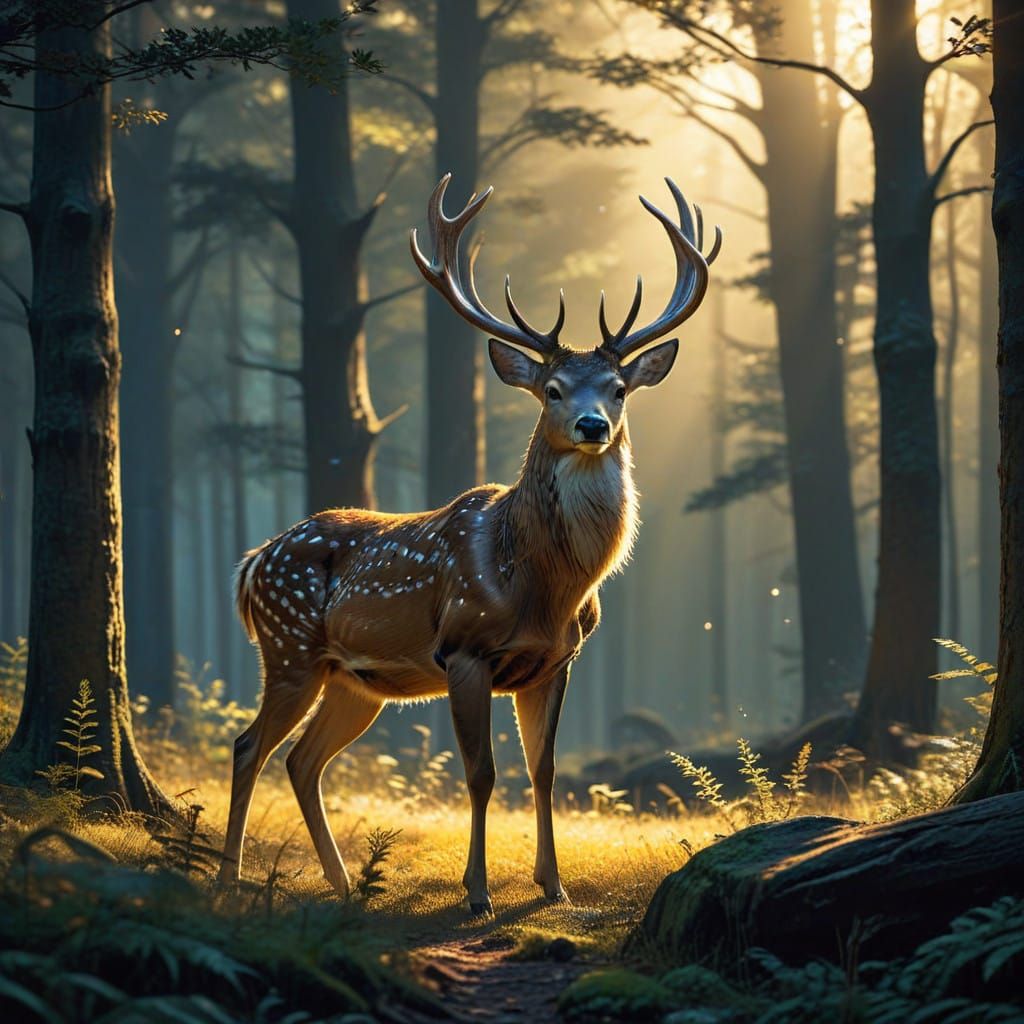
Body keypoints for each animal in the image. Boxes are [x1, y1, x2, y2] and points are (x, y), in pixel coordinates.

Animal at [218, 175, 721, 913]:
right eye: (553, 389)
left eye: (620, 388)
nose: (593, 425)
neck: (547, 587)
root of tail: (252, 563)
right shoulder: (463, 648)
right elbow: (482, 773)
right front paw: (477, 891)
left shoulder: (556, 662)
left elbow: (543, 770)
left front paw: (553, 885)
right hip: (289, 648)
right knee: (248, 745)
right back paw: (227, 880)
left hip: (355, 681)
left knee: (302, 760)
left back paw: (344, 885)